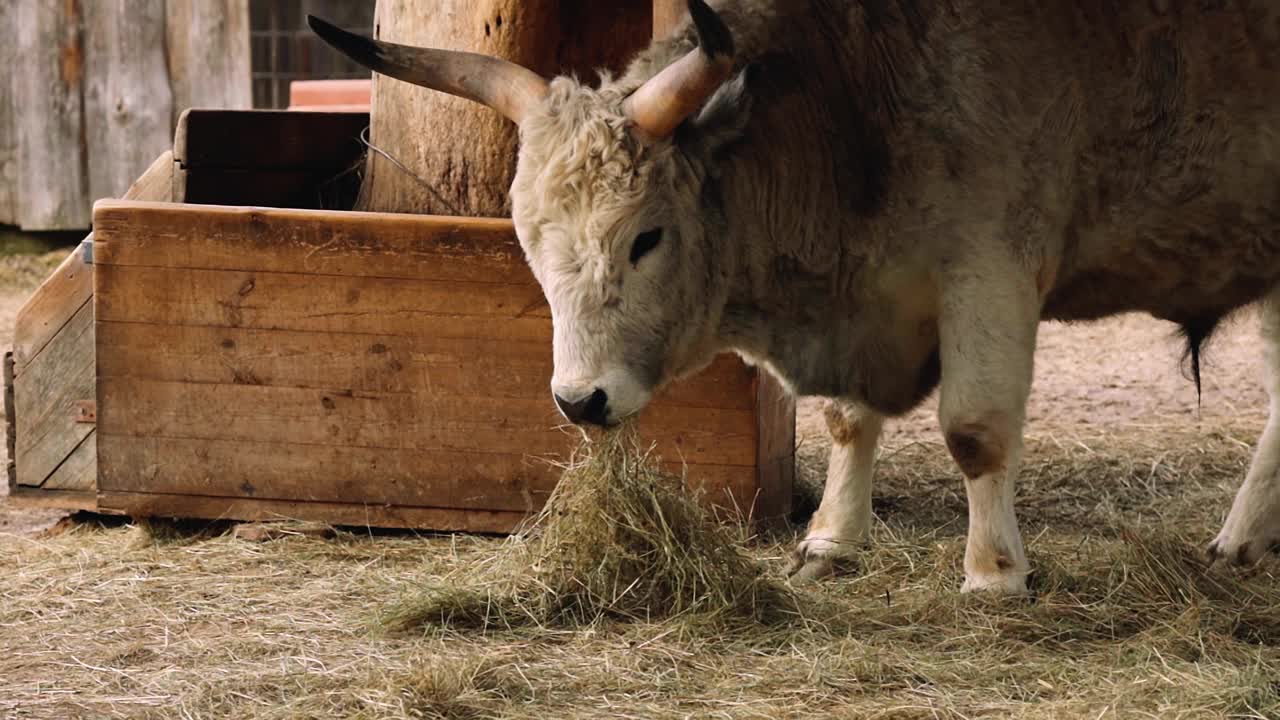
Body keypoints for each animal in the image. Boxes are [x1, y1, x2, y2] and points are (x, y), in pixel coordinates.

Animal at [307, 1, 1280, 589]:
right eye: (529, 243)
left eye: (645, 236)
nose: (580, 401)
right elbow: (849, 421)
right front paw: (831, 539)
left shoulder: (991, 268)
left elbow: (975, 431)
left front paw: (994, 572)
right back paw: (1242, 539)